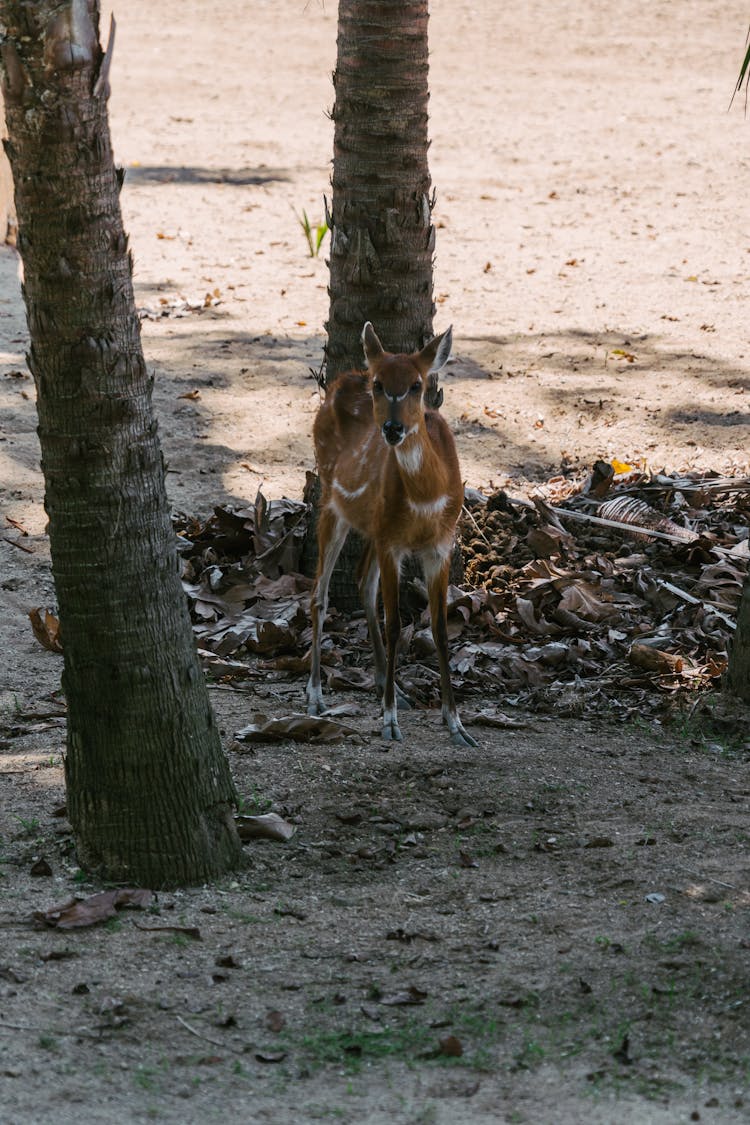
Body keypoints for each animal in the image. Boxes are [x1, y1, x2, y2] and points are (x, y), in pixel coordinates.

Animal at [303, 324, 474, 747]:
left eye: (416, 385)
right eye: (379, 384)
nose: (393, 429)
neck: (427, 499)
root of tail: (342, 380)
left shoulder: (439, 544)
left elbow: (440, 628)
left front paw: (456, 723)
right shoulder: (392, 541)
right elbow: (395, 624)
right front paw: (389, 722)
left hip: (370, 525)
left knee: (362, 581)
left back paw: (390, 685)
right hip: (332, 500)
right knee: (319, 593)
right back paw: (316, 696)